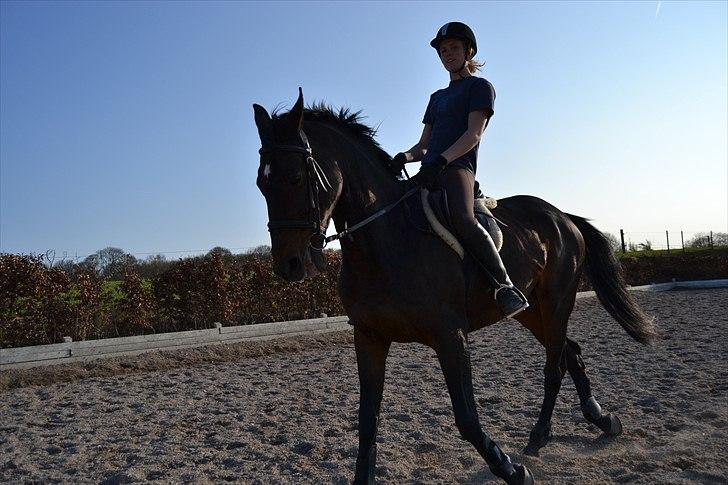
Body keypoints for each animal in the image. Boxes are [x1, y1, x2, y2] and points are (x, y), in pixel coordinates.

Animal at [253, 88, 656, 484]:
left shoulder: (450, 335)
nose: (289, 265)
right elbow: (367, 419)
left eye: (296, 178)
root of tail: (562, 216)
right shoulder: (368, 336)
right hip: (531, 310)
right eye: (261, 183)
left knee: (554, 366)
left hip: (557, 300)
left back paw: (542, 435)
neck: (384, 242)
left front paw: (511, 470)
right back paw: (598, 421)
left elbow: (465, 416)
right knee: (569, 353)